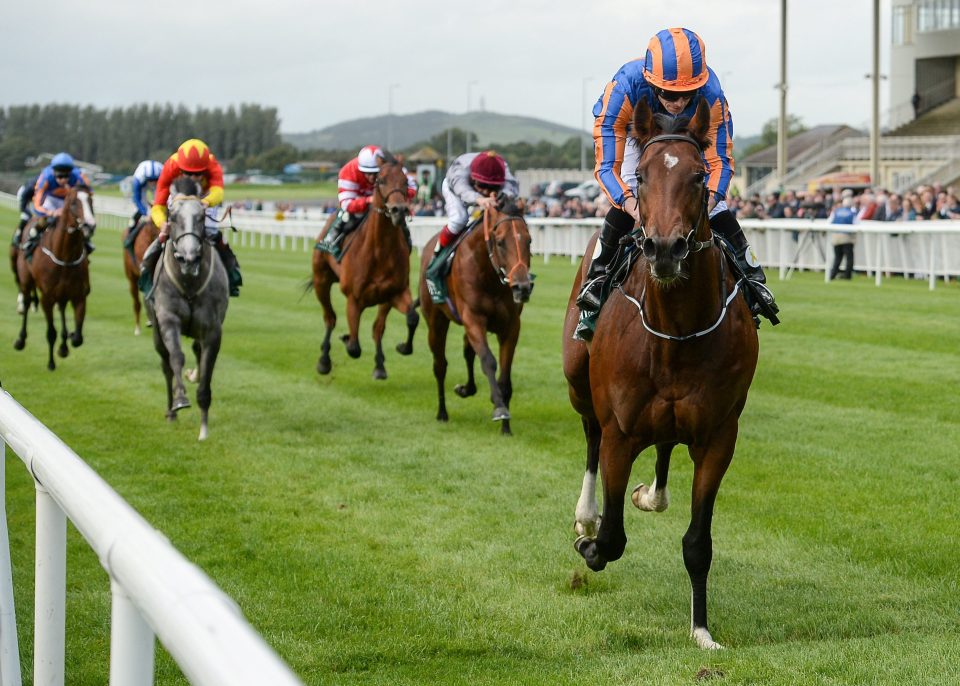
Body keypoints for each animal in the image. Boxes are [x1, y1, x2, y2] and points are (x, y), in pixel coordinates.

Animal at [12, 185, 95, 370]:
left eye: (91, 201)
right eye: (73, 203)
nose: (90, 225)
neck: (65, 257)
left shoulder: (79, 296)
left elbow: (78, 338)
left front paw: (70, 337)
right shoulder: (47, 298)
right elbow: (51, 332)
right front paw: (51, 363)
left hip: (62, 294)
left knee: (62, 309)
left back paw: (64, 344)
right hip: (26, 281)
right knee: (26, 303)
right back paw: (21, 339)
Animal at [146, 179, 229, 440]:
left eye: (202, 217)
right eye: (172, 216)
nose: (189, 258)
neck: (189, 284)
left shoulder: (212, 330)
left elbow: (206, 375)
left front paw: (204, 429)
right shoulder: (168, 319)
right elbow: (176, 357)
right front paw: (180, 399)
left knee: (197, 352)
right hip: (156, 332)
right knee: (166, 366)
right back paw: (171, 410)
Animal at [314, 156, 418, 382]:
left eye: (406, 181)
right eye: (381, 180)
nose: (399, 210)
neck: (379, 251)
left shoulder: (395, 293)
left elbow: (408, 319)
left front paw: (399, 350)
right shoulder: (354, 299)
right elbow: (354, 347)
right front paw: (346, 339)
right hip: (321, 281)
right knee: (329, 318)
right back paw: (324, 360)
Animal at [418, 200, 532, 436]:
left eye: (529, 240)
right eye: (500, 242)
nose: (522, 287)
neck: (490, 277)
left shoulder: (511, 327)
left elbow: (504, 376)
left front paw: (506, 427)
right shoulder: (473, 319)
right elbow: (488, 360)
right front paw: (499, 408)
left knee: (467, 351)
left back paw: (466, 389)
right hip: (436, 321)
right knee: (440, 365)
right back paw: (442, 412)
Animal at [564, 97, 756, 652]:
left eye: (697, 176)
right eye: (642, 176)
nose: (665, 249)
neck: (677, 332)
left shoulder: (718, 437)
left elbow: (698, 543)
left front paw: (702, 630)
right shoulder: (621, 433)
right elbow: (611, 538)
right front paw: (590, 542)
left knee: (666, 445)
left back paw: (652, 493)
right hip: (578, 383)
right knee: (588, 435)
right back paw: (586, 514)